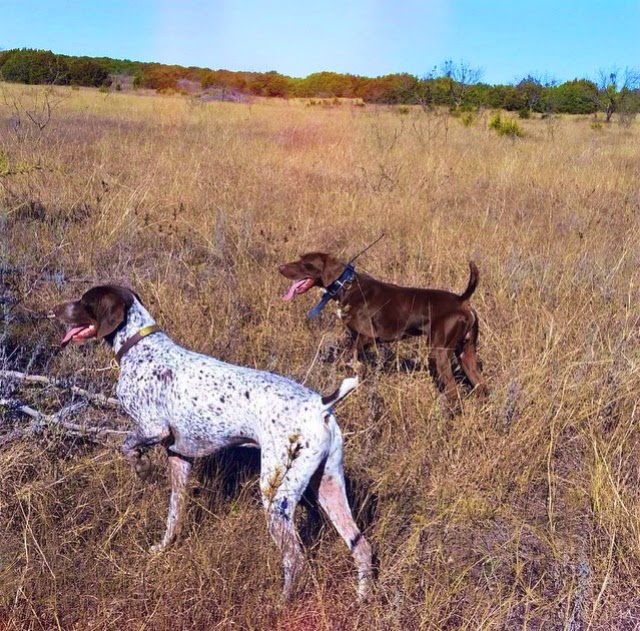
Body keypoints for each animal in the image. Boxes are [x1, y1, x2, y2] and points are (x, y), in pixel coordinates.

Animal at [51, 286, 376, 596]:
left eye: (85, 301)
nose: (54, 310)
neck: (141, 347)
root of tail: (320, 405)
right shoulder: (178, 456)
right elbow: (174, 512)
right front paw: (165, 547)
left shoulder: (153, 429)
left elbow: (127, 446)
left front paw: (142, 469)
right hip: (329, 485)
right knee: (361, 547)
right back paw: (363, 597)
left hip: (276, 494)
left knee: (295, 559)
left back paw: (282, 602)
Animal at [278, 254, 488, 408]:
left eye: (306, 263)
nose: (280, 268)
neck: (347, 286)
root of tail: (462, 300)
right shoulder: (357, 339)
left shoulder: (367, 337)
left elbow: (344, 359)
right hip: (466, 353)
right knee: (482, 387)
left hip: (438, 353)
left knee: (454, 393)